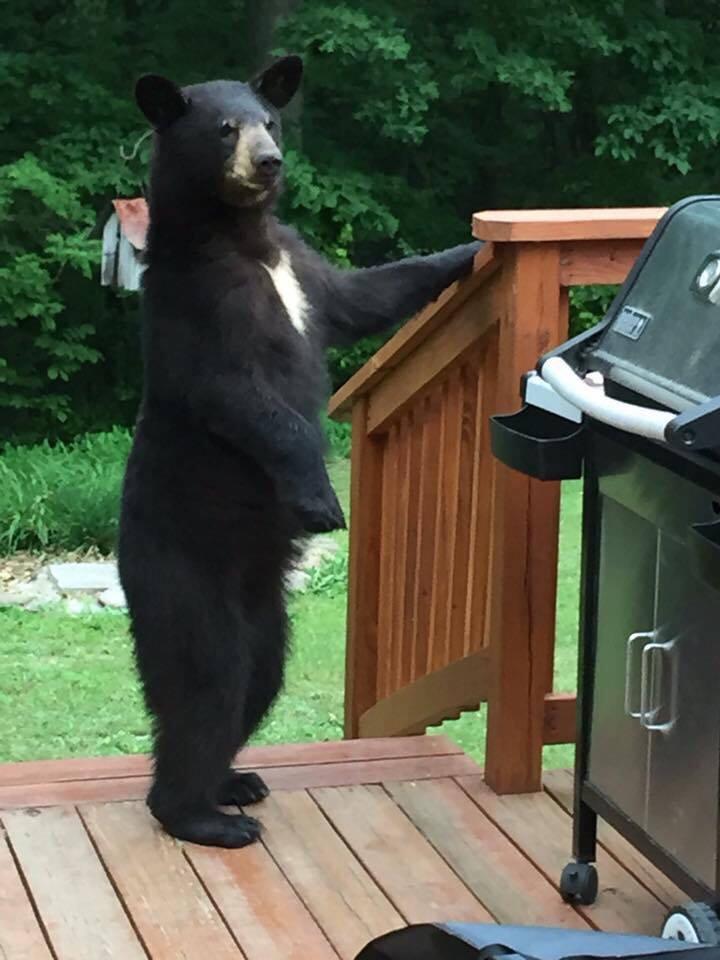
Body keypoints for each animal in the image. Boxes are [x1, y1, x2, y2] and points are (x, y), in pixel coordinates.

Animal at [119, 54, 482, 848]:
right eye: (226, 127)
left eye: (271, 121)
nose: (269, 161)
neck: (242, 241)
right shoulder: (197, 308)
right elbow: (245, 400)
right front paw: (321, 501)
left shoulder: (304, 274)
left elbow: (367, 293)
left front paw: (468, 249)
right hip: (181, 572)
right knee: (206, 678)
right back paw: (201, 814)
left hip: (267, 611)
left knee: (259, 678)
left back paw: (233, 780)